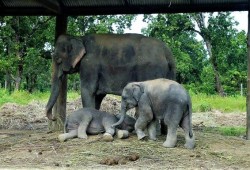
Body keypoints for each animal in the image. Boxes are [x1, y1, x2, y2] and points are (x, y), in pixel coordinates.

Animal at [46, 33, 176, 120]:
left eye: (58, 60)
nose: (54, 118)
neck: (80, 38)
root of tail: (167, 52)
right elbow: (97, 95)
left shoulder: (89, 65)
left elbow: (88, 91)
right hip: (170, 72)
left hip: (150, 70)